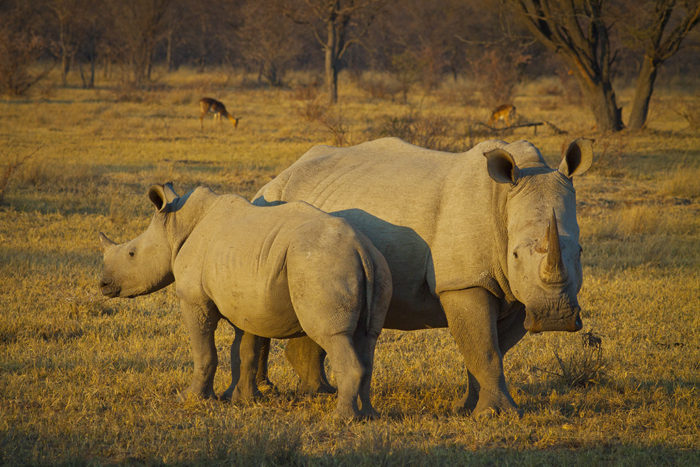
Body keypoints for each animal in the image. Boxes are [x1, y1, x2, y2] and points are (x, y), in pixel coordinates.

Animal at [98, 184, 392, 420]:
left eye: (131, 253)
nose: (103, 285)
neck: (176, 226)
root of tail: (360, 248)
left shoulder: (194, 299)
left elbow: (204, 351)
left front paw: (190, 398)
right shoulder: (246, 298)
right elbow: (244, 350)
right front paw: (241, 399)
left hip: (321, 264)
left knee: (332, 334)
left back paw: (341, 418)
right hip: (374, 265)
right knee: (367, 337)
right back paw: (369, 415)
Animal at [254, 136, 592, 416]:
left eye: (579, 252)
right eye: (516, 255)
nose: (554, 317)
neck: (506, 196)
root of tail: (282, 174)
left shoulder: (521, 297)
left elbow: (490, 349)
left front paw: (468, 409)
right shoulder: (464, 282)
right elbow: (484, 349)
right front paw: (497, 414)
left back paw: (320, 392)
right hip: (272, 205)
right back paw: (266, 392)